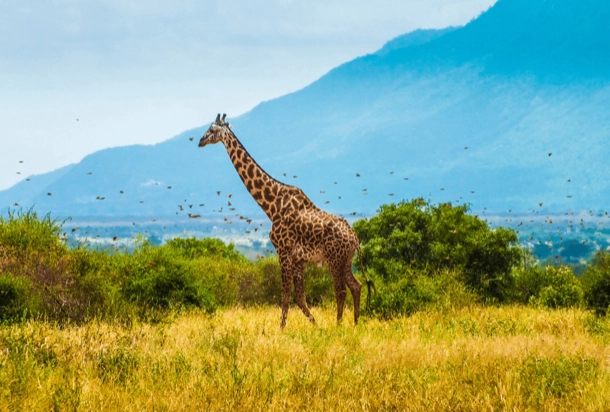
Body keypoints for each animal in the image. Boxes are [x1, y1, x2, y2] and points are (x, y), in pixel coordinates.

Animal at [197, 113, 372, 328]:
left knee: (341, 290)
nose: (200, 141)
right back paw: (355, 324)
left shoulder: (283, 251)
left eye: (212, 130)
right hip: (346, 259)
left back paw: (338, 326)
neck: (272, 206)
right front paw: (315, 325)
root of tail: (355, 239)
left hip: (334, 258)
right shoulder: (298, 259)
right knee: (356, 285)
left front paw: (282, 329)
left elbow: (286, 296)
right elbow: (300, 297)